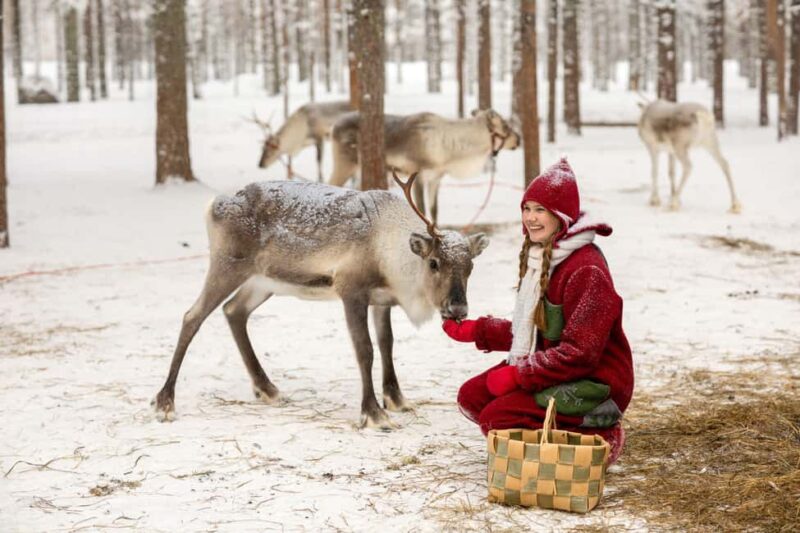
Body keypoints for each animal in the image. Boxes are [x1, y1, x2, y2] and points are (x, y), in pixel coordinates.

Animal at [153, 173, 489, 430]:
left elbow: (387, 344)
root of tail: (215, 204)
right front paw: (374, 413)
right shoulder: (351, 290)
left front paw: (396, 399)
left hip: (263, 281)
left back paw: (267, 388)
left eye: (470, 267)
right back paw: (165, 402)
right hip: (228, 265)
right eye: (434, 263)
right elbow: (365, 350)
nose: (458, 309)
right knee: (193, 316)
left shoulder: (381, 300)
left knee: (234, 311)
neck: (391, 255)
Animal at [328, 109, 521, 224]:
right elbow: (421, 210)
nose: (519, 139)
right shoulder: (418, 176)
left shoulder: (435, 178)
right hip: (344, 164)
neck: (450, 151)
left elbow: (434, 211)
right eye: (505, 125)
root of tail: (333, 126)